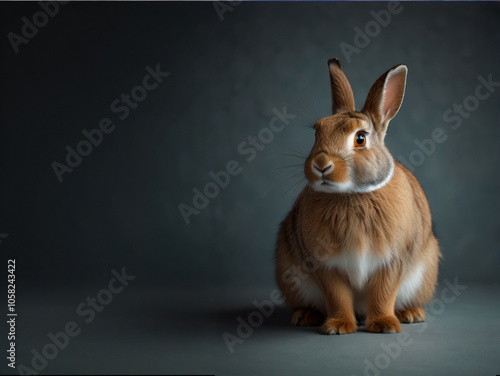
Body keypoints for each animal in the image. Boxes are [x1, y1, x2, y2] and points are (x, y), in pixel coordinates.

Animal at [274, 57, 442, 334]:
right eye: (316, 132)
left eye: (360, 138)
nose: (321, 164)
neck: (352, 194)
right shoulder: (326, 265)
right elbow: (337, 296)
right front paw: (339, 326)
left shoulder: (391, 261)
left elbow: (383, 293)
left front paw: (384, 325)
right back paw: (305, 316)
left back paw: (411, 314)